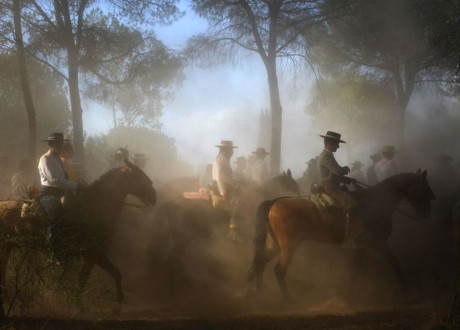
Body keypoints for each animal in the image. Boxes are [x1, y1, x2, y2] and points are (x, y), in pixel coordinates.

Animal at [0, 161, 156, 306]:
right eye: (139, 176)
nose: (154, 196)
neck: (95, 209)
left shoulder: (95, 255)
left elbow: (109, 274)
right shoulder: (94, 254)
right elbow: (88, 278)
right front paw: (78, 306)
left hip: (8, 246)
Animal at [248, 170, 434, 302]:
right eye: (425, 189)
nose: (426, 213)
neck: (377, 203)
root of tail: (274, 202)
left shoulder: (362, 247)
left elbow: (355, 269)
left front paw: (349, 293)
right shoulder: (378, 243)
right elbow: (395, 263)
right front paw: (407, 292)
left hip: (275, 245)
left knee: (261, 261)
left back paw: (258, 289)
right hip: (289, 246)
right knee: (279, 270)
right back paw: (289, 300)